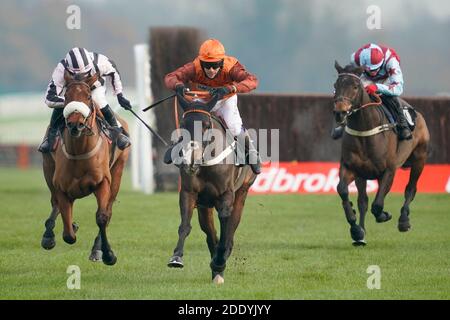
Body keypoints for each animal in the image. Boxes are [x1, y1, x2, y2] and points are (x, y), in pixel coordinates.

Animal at [40, 72, 130, 264]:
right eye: (66, 96)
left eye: (88, 96)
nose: (76, 124)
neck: (79, 151)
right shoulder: (61, 187)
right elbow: (68, 234)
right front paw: (69, 227)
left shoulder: (102, 183)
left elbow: (102, 217)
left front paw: (107, 254)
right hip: (48, 169)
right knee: (54, 203)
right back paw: (49, 234)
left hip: (118, 172)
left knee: (108, 211)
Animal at [167, 91, 256, 284]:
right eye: (183, 125)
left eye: (207, 125)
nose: (191, 159)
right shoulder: (189, 193)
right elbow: (185, 225)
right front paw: (176, 257)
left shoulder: (226, 195)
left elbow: (225, 228)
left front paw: (220, 261)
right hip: (204, 206)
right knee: (210, 234)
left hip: (242, 192)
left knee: (230, 228)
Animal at [332, 62, 430, 246]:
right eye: (335, 86)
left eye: (355, 86)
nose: (339, 112)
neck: (365, 130)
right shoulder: (352, 168)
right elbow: (343, 190)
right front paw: (356, 229)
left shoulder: (389, 170)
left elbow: (377, 205)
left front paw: (384, 215)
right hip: (363, 175)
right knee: (363, 201)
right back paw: (361, 234)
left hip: (420, 159)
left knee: (410, 189)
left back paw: (404, 220)